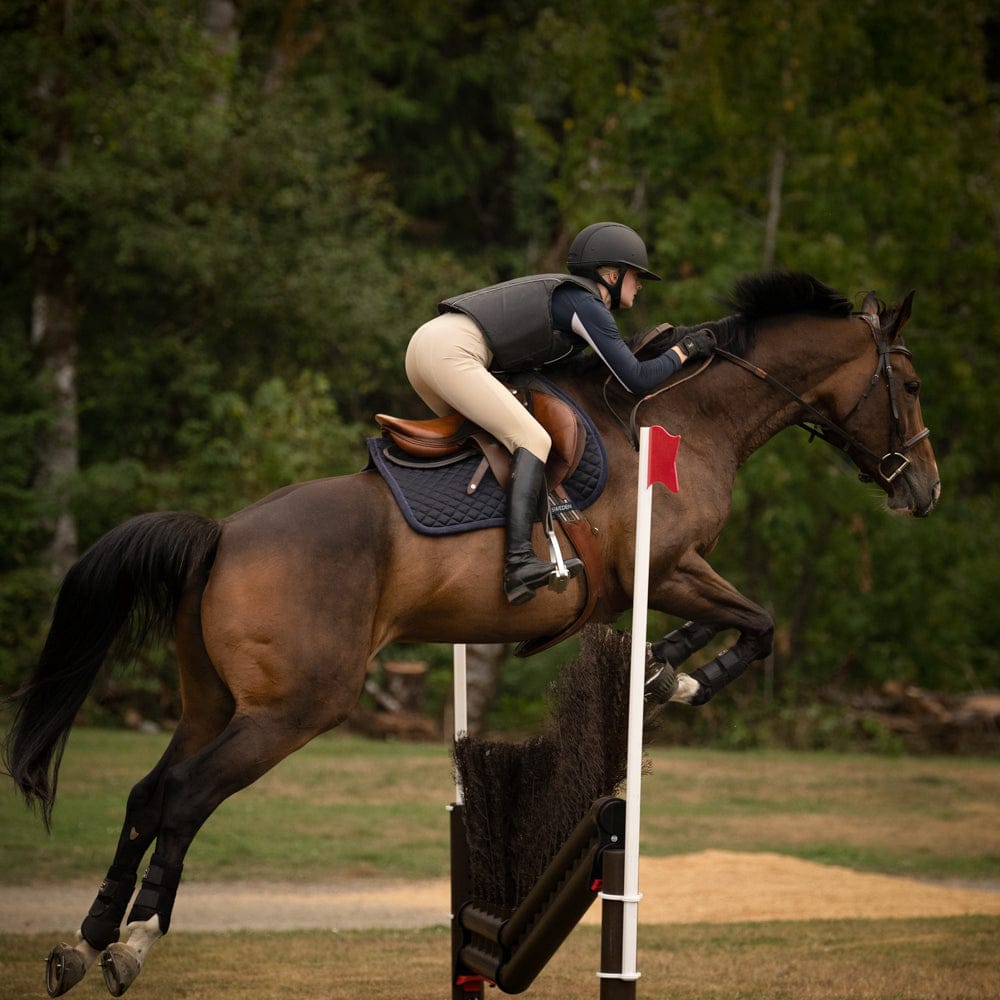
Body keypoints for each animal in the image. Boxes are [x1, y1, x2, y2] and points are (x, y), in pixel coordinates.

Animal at [2, 271, 939, 997]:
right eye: (912, 383)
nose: (924, 490)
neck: (695, 415)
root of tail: (223, 534)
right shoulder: (665, 568)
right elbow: (757, 624)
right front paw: (680, 679)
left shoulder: (667, 579)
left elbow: (731, 626)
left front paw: (659, 672)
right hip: (292, 709)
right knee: (186, 797)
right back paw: (132, 943)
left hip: (212, 701)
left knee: (145, 795)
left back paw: (83, 943)